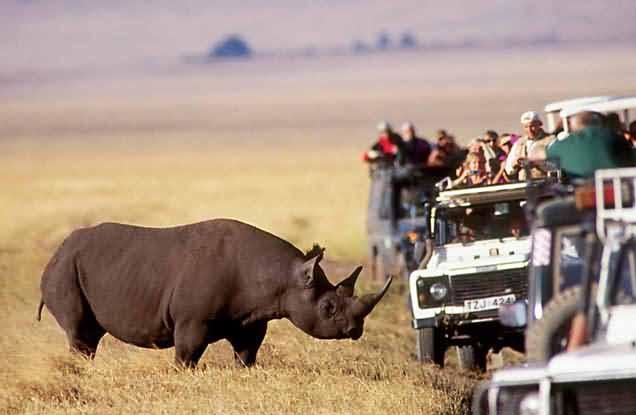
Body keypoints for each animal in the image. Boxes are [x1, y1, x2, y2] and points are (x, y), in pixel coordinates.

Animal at [38, 219, 392, 368]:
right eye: (329, 307)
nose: (355, 330)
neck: (283, 277)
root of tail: (56, 250)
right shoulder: (192, 321)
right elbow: (187, 355)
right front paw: (182, 376)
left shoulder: (251, 319)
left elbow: (247, 353)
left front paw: (244, 372)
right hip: (64, 269)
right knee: (79, 331)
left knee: (90, 334)